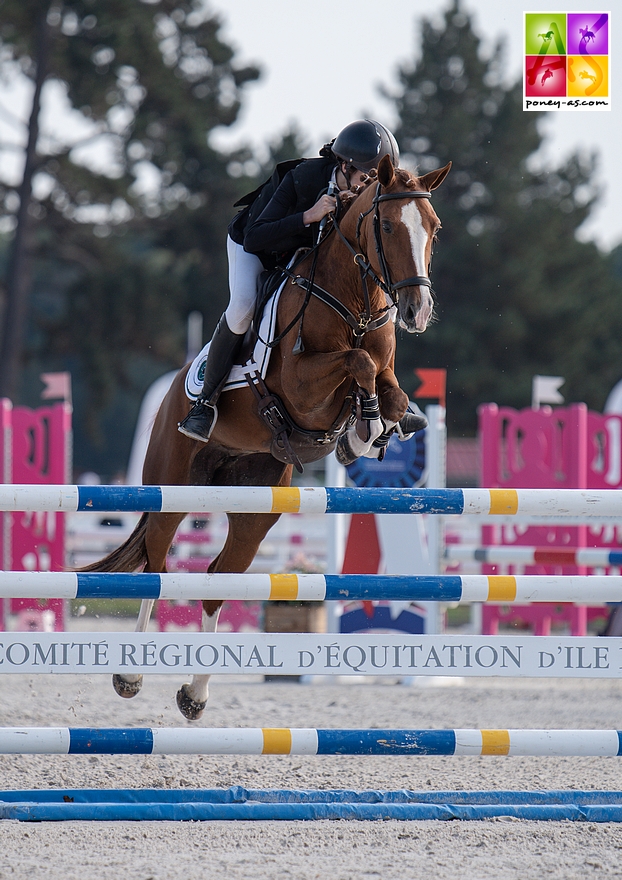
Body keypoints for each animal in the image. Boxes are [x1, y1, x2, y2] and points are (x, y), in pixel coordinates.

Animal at [84, 156, 454, 720]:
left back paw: (195, 695)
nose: (417, 312)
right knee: (158, 563)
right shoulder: (301, 385)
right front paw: (362, 426)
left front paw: (368, 432)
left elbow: (388, 392)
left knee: (218, 579)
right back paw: (130, 675)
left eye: (433, 228)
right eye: (388, 226)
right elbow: (357, 363)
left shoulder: (382, 372)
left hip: (257, 506)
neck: (356, 299)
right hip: (173, 489)